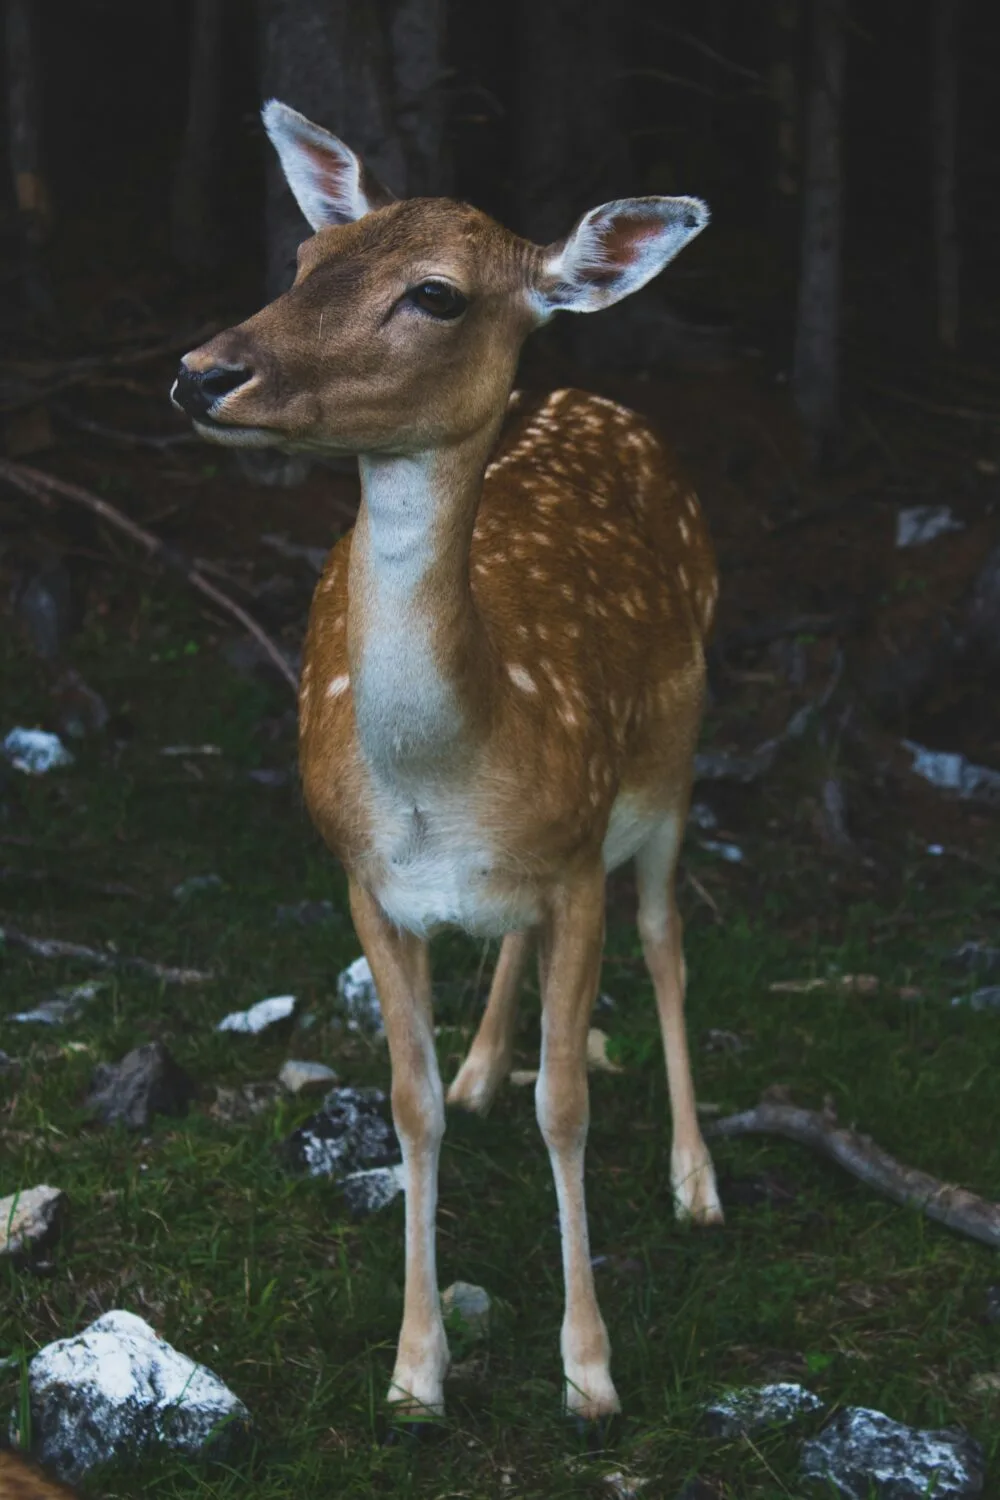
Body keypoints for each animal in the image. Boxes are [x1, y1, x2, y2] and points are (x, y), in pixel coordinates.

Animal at [171, 100, 722, 1429]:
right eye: (308, 259)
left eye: (435, 294)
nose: (203, 371)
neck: (449, 775)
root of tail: (603, 401)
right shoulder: (366, 879)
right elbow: (407, 1104)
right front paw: (415, 1370)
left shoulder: (576, 859)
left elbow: (567, 1104)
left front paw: (589, 1371)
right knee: (519, 956)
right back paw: (482, 1068)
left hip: (672, 763)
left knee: (665, 936)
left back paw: (697, 1183)